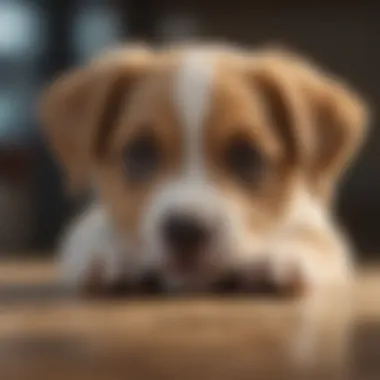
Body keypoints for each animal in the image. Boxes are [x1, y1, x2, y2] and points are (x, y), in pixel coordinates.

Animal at [38, 43, 368, 296]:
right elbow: (93, 235)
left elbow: (313, 240)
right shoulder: (87, 227)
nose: (186, 230)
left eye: (246, 156)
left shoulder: (319, 229)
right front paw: (113, 253)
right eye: (139, 152)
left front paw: (283, 254)